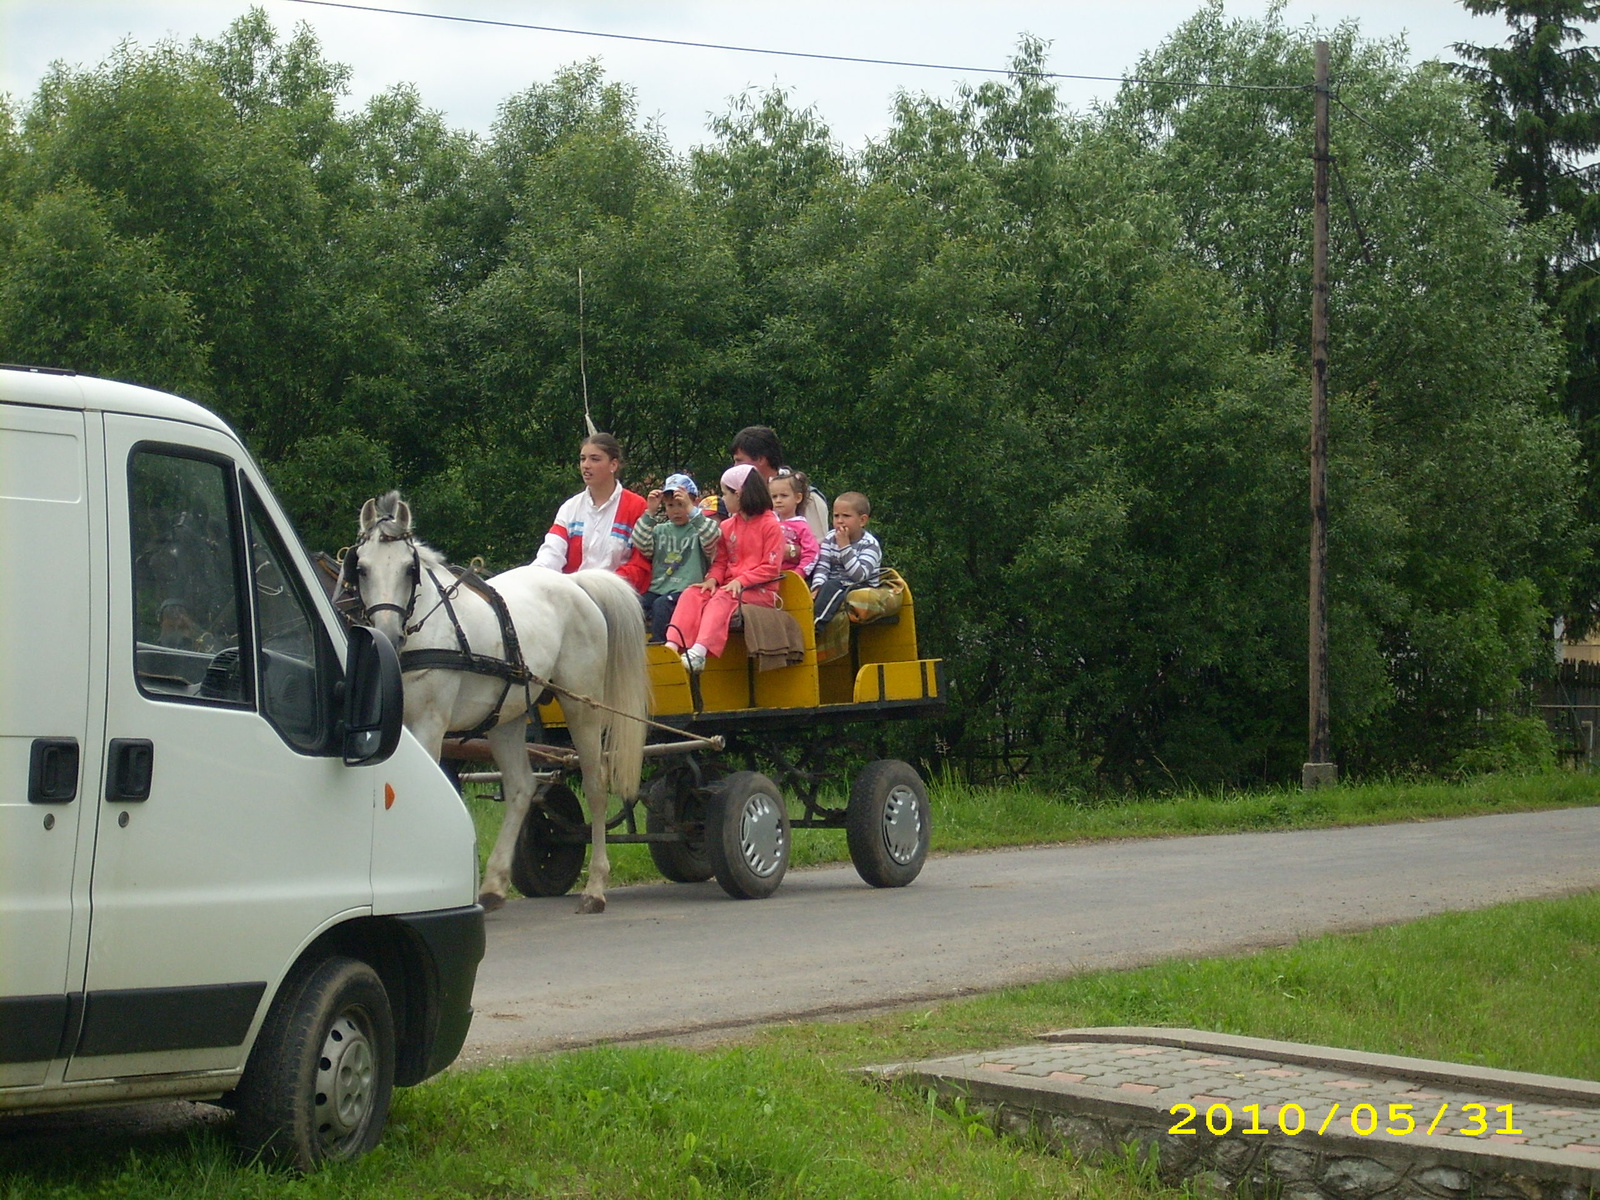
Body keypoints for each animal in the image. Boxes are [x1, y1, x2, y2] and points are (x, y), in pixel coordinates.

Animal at [350, 492, 649, 915]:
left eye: (410, 569)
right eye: (361, 568)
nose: (388, 637)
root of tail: (573, 583)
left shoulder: (430, 726)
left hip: (582, 706)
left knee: (594, 785)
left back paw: (595, 888)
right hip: (507, 717)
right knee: (523, 787)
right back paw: (493, 884)